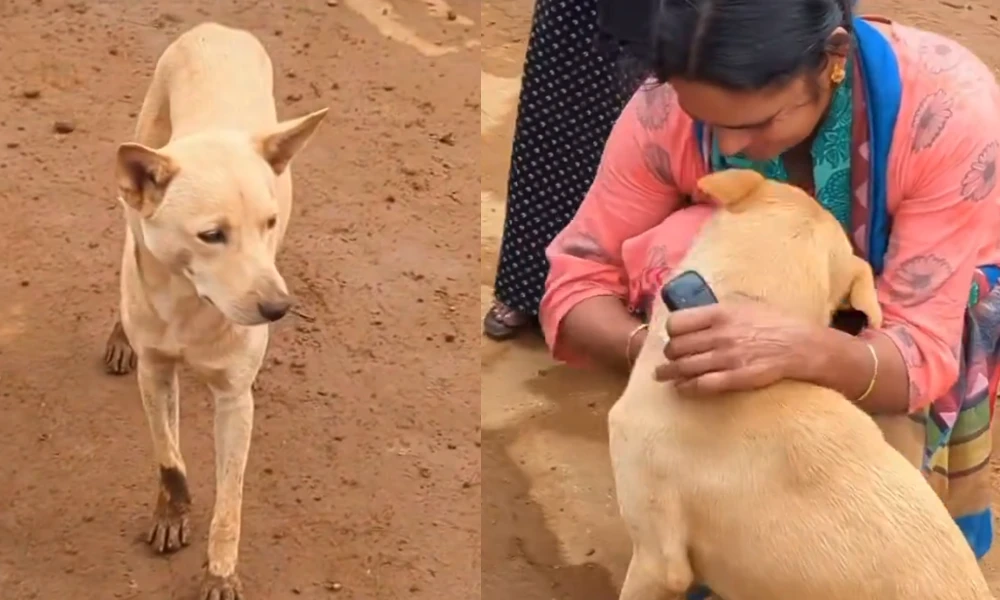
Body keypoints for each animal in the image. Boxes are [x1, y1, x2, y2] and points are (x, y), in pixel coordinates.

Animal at [108, 21, 330, 596]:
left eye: (267, 224)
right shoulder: (155, 372)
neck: (190, 302)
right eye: (211, 236)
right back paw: (118, 334)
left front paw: (221, 571)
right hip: (134, 181)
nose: (279, 308)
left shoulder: (235, 400)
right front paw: (172, 512)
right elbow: (169, 456)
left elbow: (230, 500)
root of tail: (218, 29)